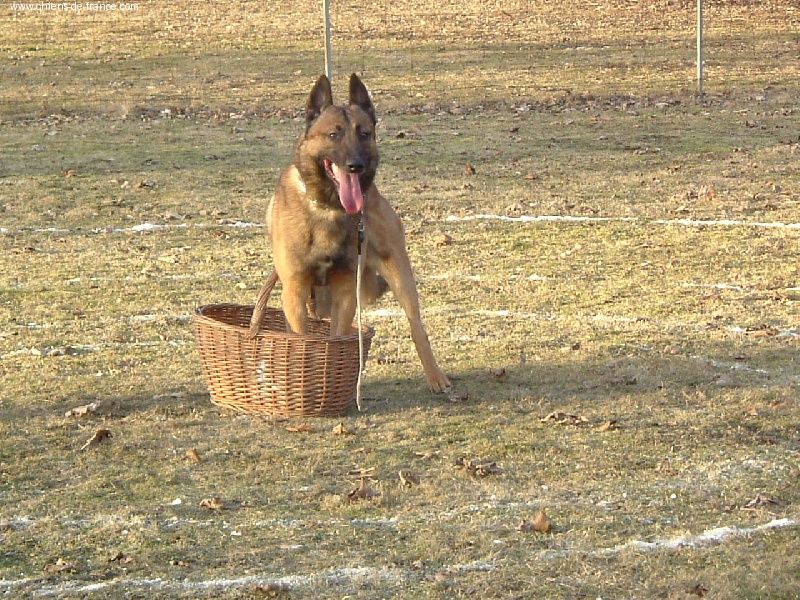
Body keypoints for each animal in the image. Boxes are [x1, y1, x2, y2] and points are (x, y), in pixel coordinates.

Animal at [247, 74, 454, 394]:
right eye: (334, 135)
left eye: (365, 133)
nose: (356, 165)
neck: (328, 207)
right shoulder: (295, 291)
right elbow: (302, 339)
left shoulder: (345, 292)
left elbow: (336, 340)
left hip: (399, 275)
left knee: (417, 326)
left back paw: (436, 377)